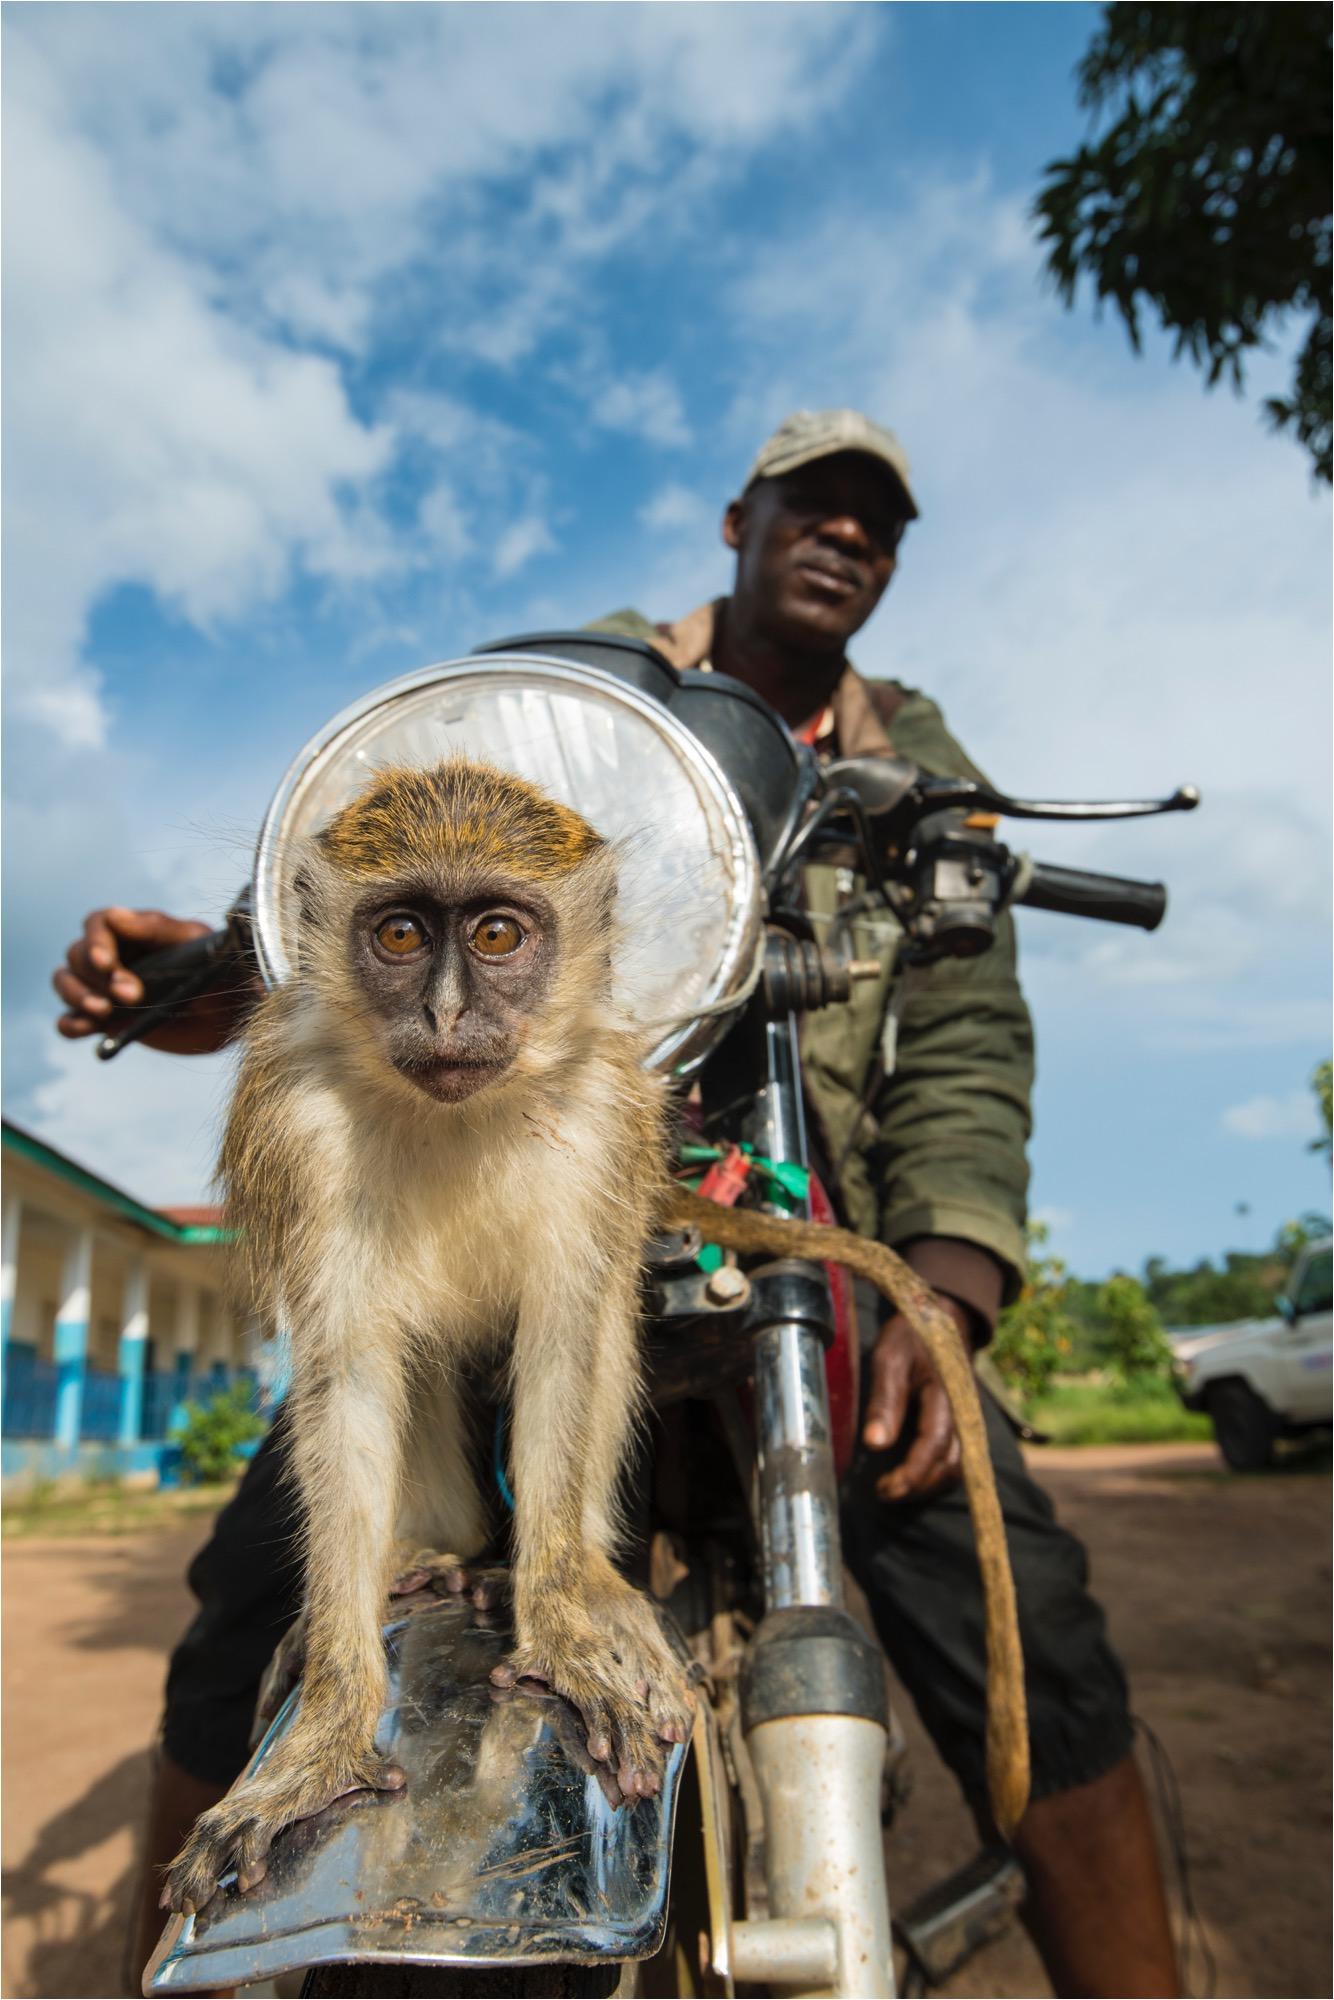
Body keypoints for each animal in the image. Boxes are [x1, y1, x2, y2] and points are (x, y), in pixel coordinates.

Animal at [162, 756, 696, 1912]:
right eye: (401, 934)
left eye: (495, 934)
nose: (446, 1013)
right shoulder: (296, 1123)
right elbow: (351, 1377)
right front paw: (324, 1726)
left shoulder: (604, 1115)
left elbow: (565, 1337)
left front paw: (563, 1619)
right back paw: (431, 1558)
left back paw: (573, 1581)